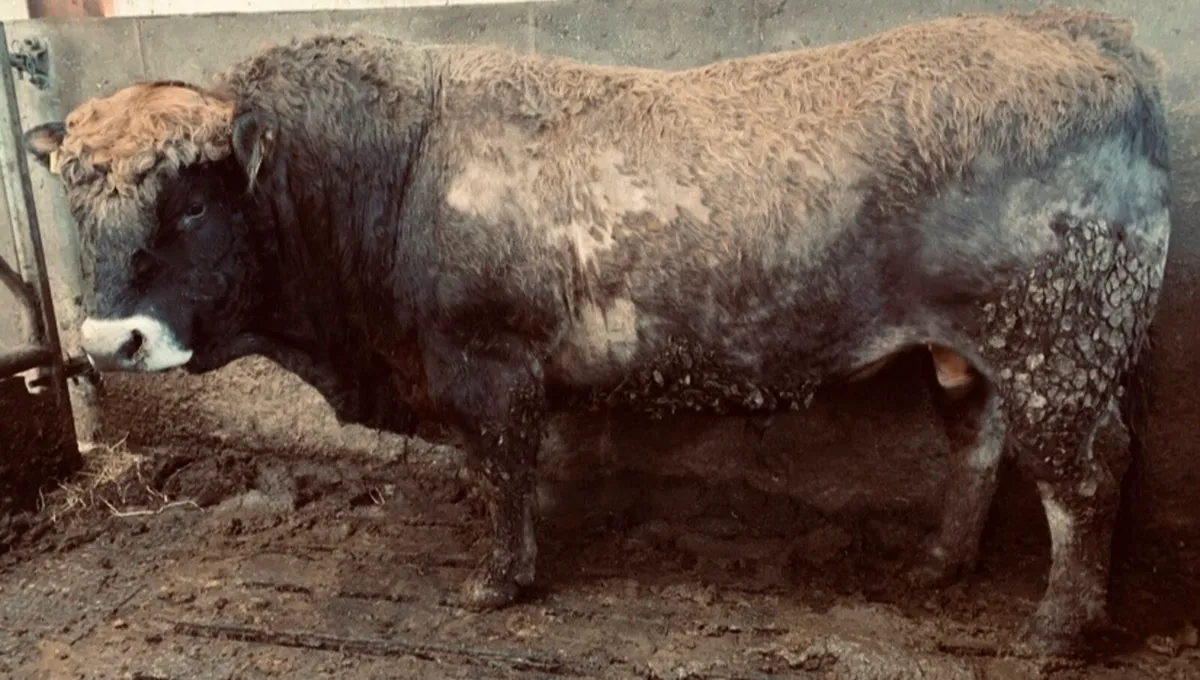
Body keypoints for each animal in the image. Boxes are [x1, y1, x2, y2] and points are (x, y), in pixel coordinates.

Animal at [22, 8, 1170, 657]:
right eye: (77, 201)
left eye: (190, 203)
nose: (111, 342)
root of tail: (1082, 33)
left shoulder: (486, 361)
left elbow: (502, 469)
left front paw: (499, 581)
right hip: (974, 352)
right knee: (978, 442)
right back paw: (942, 563)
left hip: (1060, 346)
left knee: (1085, 474)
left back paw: (1058, 627)